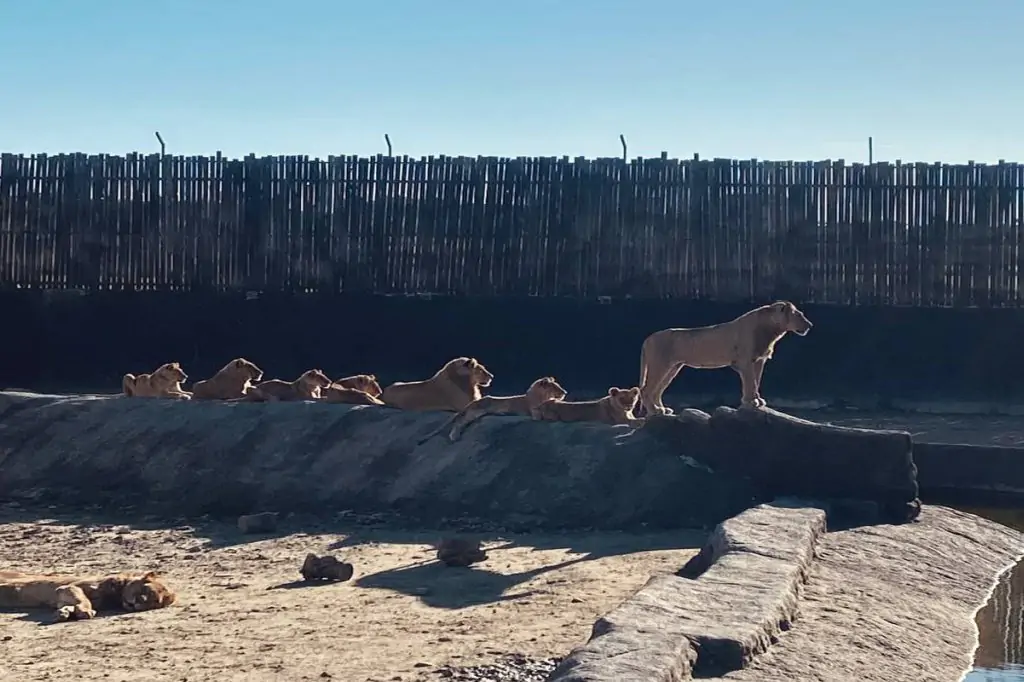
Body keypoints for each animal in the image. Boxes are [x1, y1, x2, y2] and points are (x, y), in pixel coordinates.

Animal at [0, 569, 176, 622]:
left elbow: (69, 605)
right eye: (145, 590)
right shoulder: (68, 587)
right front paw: (85, 611)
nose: (138, 603)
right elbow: (83, 599)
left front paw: (64, 613)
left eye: (153, 602)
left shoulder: (61, 596)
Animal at [419, 374, 573, 444]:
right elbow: (540, 414)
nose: (565, 392)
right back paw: (454, 436)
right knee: (459, 422)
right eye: (556, 387)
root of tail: (475, 401)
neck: (539, 395)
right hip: (476, 412)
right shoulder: (533, 410)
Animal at [634, 299, 811, 413]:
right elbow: (750, 382)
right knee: (646, 390)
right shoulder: (745, 361)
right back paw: (654, 411)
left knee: (657, 390)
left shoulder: (759, 361)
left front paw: (755, 401)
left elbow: (756, 381)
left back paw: (662, 410)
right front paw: (751, 402)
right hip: (660, 365)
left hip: (673, 367)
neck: (772, 330)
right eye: (798, 315)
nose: (810, 325)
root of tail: (647, 338)